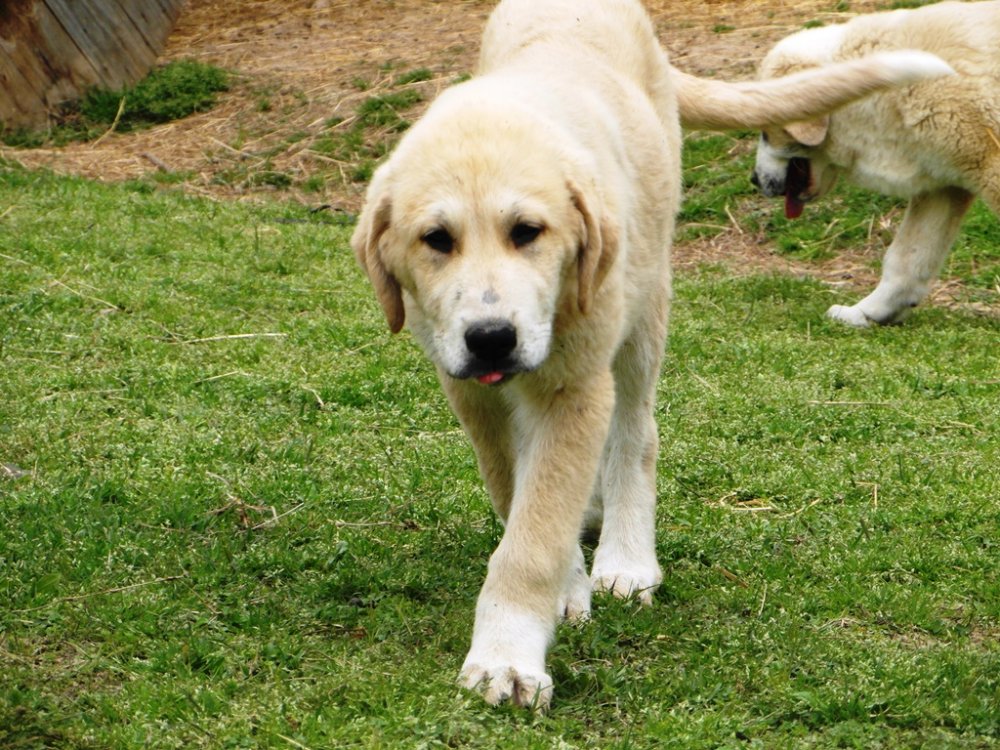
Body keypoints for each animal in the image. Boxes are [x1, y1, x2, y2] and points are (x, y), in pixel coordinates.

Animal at [352, 0, 952, 712]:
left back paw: (626, 559)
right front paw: (560, 591)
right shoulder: (470, 389)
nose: (492, 337)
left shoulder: (575, 384)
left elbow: (534, 533)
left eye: (528, 232)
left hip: (643, 306)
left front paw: (508, 657)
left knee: (636, 435)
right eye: (436, 240)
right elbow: (518, 496)